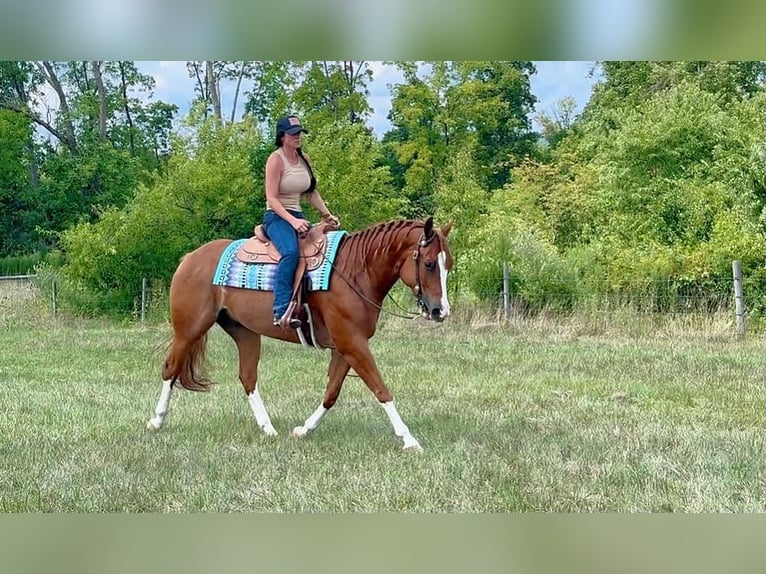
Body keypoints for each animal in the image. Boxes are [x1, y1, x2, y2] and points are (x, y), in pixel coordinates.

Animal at [146, 217, 453, 451]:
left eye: (447, 265)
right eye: (428, 264)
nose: (440, 311)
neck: (356, 272)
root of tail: (189, 258)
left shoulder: (345, 347)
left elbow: (332, 392)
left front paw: (304, 429)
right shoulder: (352, 344)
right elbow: (380, 389)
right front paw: (409, 439)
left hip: (245, 333)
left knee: (247, 378)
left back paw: (268, 428)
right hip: (189, 329)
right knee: (171, 369)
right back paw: (156, 421)